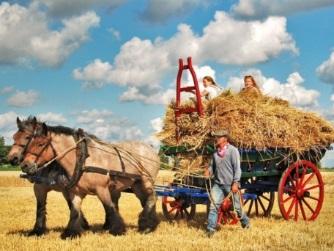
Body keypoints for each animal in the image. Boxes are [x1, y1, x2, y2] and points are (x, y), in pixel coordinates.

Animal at [19, 122, 160, 238]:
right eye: (29, 142)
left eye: (41, 144)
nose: (25, 165)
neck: (82, 160)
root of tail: (150, 147)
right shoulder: (76, 192)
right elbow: (74, 212)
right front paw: (70, 233)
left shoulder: (102, 189)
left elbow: (110, 208)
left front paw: (117, 229)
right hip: (136, 184)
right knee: (147, 200)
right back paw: (149, 224)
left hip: (147, 181)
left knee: (152, 197)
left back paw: (147, 226)